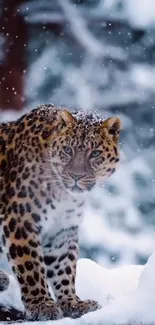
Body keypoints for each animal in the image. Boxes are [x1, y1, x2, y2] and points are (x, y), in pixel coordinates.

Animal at [0, 104, 121, 318]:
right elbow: (30, 265)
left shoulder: (63, 228)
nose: (76, 176)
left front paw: (72, 303)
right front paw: (41, 305)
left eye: (95, 153)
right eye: (68, 150)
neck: (63, 195)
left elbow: (63, 267)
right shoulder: (21, 220)